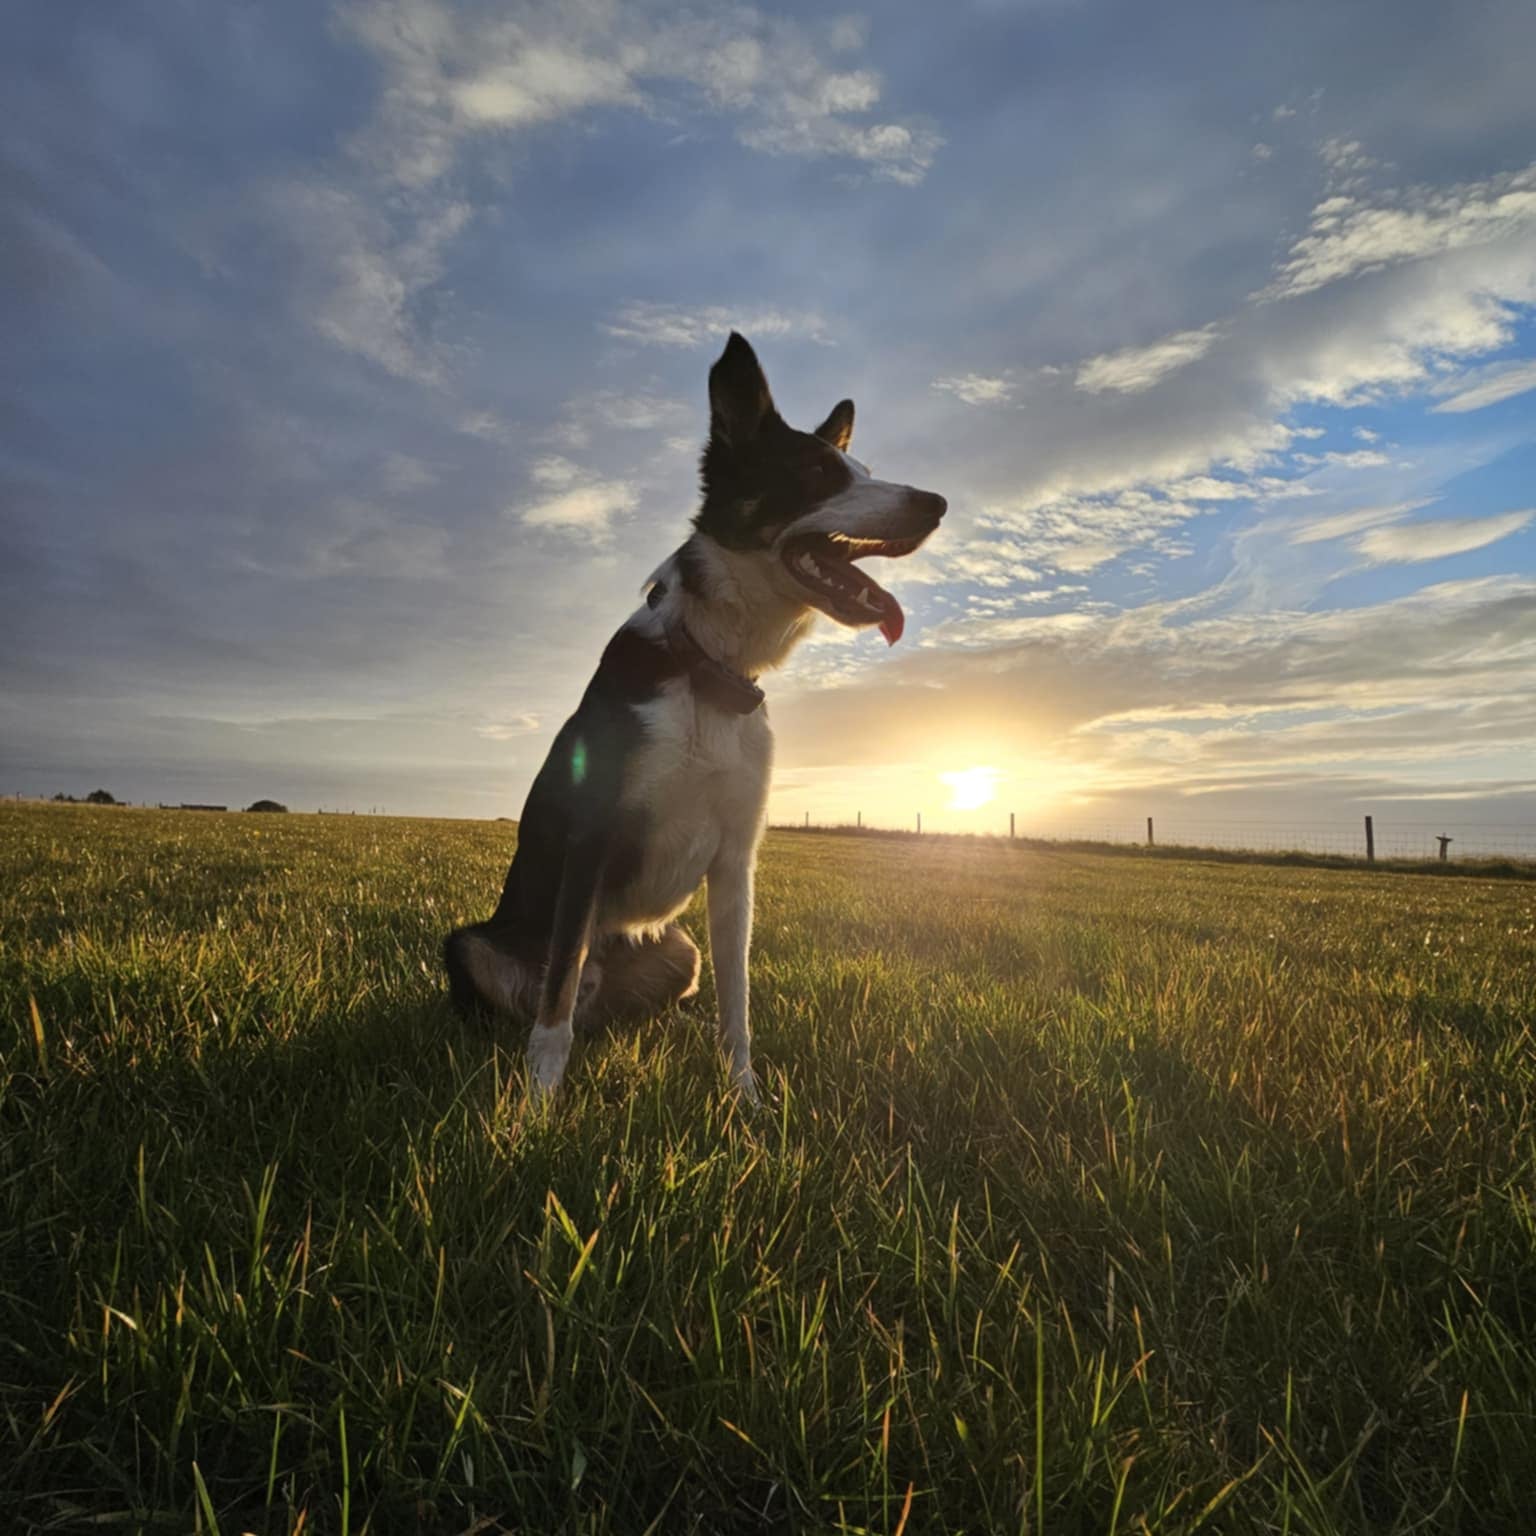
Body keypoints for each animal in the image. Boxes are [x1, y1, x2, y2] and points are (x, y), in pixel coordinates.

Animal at [442, 336, 946, 1105]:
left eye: (864, 471)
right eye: (817, 473)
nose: (937, 503)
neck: (710, 669)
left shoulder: (737, 864)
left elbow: (737, 1002)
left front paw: (747, 1099)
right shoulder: (590, 842)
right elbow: (554, 1003)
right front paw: (539, 1104)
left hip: (678, 950)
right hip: (473, 944)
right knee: (548, 998)